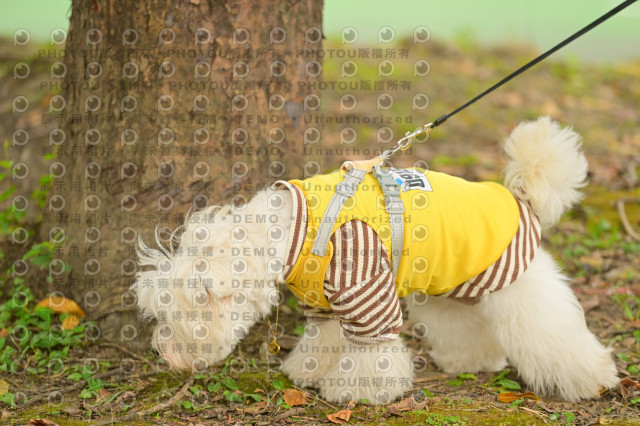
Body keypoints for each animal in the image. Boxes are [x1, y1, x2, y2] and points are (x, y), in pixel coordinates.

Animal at [133, 117, 618, 405]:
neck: (292, 231)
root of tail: (522, 198)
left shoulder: (365, 290)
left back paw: (592, 379)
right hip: (447, 288)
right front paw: (309, 373)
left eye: (176, 315)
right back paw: (470, 362)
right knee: (466, 328)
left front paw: (356, 391)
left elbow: (372, 353)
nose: (162, 352)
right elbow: (322, 342)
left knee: (554, 335)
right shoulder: (324, 305)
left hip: (520, 289)